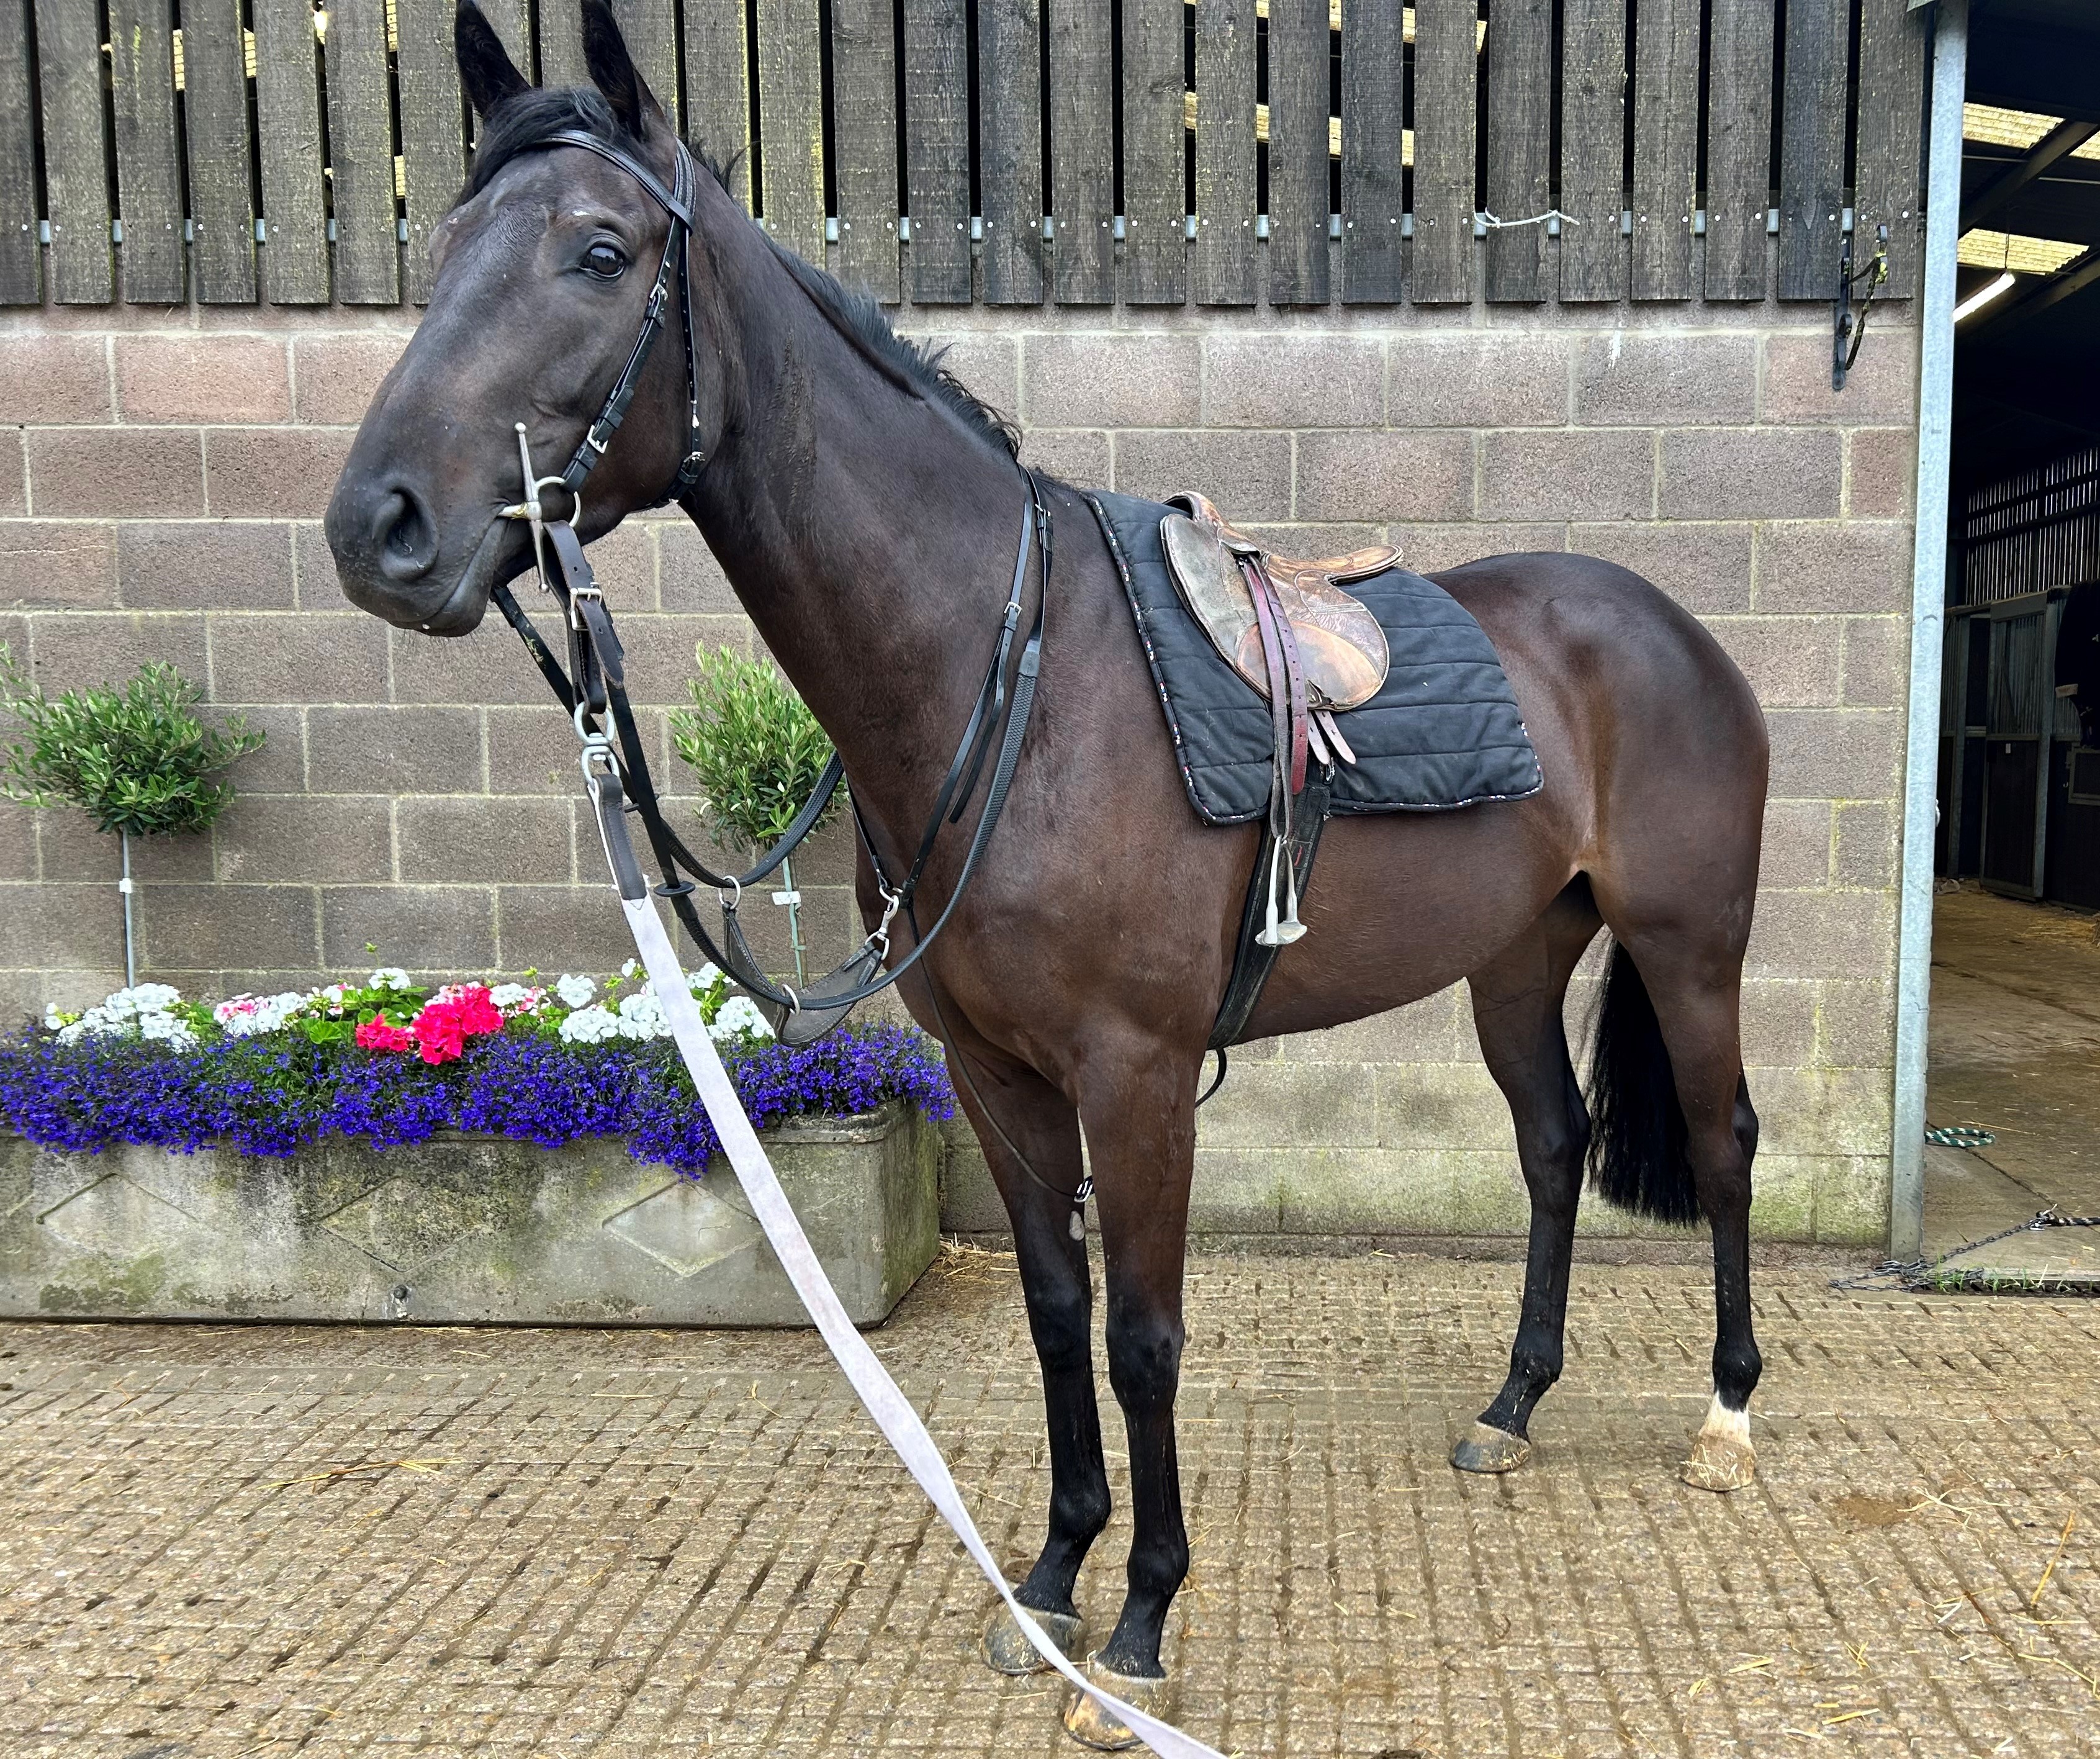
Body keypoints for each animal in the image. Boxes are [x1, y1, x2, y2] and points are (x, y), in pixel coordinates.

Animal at [323, 7, 1772, 1740]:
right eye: (444, 244)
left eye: (599, 252)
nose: (378, 528)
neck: (1006, 678)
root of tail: (1666, 626)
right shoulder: (996, 1072)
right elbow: (1054, 1313)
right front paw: (1052, 1579)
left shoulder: (1134, 1072)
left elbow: (1144, 1336)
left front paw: (1140, 1624)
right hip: (1512, 954)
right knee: (1553, 1146)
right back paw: (1510, 1404)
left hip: (1685, 948)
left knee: (1723, 1143)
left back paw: (1727, 1420)